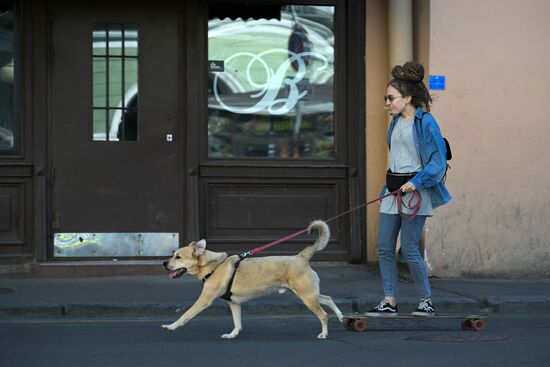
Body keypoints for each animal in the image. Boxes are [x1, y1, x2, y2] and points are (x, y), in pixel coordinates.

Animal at [160, 220, 348, 340]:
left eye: (177, 257)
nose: (163, 263)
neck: (213, 265)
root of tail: (301, 257)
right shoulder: (234, 303)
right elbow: (237, 322)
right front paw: (233, 334)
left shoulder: (204, 300)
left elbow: (186, 315)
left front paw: (171, 326)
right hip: (309, 294)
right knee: (328, 299)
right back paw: (340, 316)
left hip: (307, 296)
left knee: (323, 315)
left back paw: (324, 333)